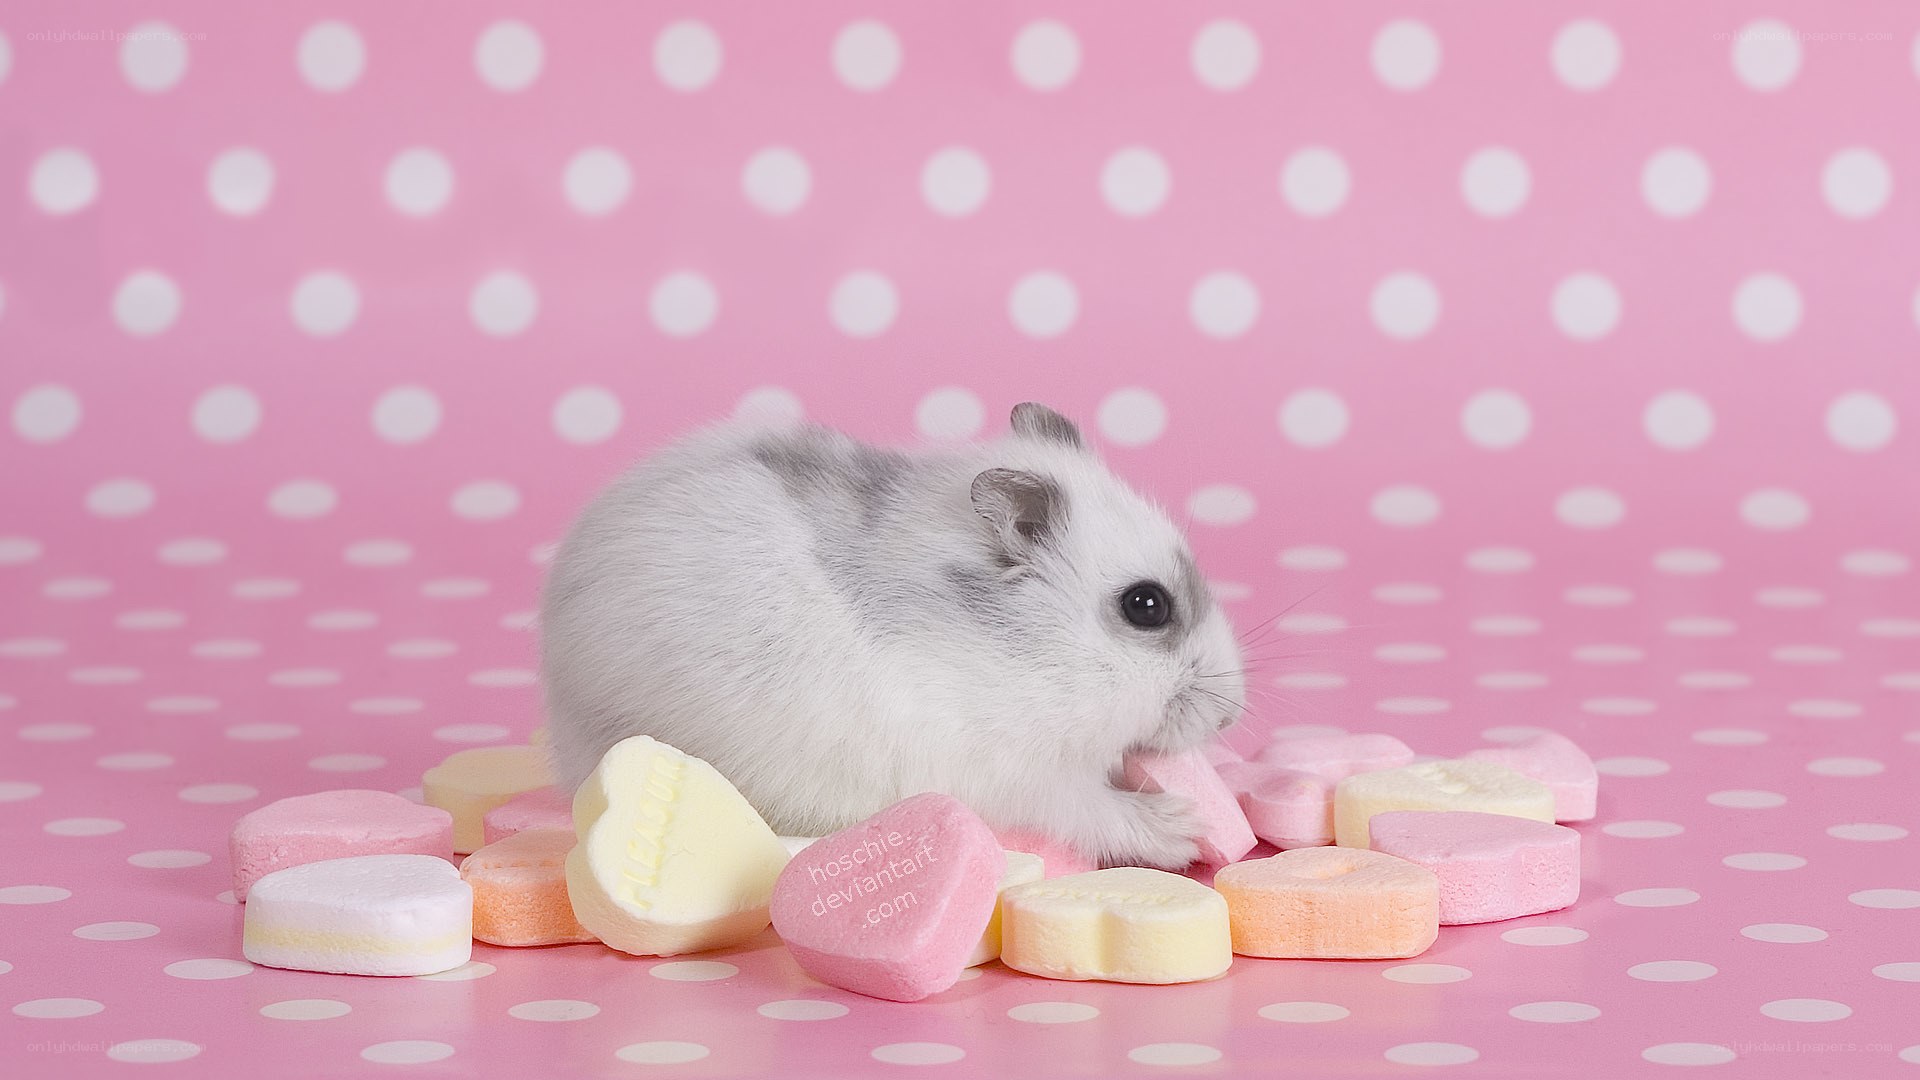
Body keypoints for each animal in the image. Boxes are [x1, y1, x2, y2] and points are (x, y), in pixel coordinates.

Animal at [538, 402, 1247, 870]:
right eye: (1146, 606)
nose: (1231, 717)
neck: (1022, 656)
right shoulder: (1012, 776)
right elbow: (1088, 806)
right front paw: (1181, 828)